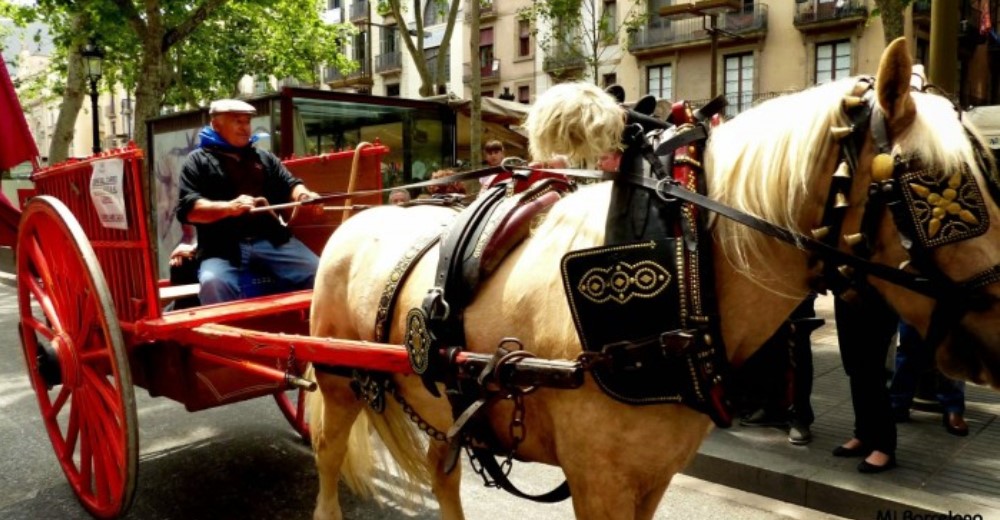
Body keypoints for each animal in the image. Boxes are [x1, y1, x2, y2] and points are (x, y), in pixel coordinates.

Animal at [308, 40, 1000, 520]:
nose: (996, 335)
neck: (687, 263)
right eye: (929, 189)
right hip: (338, 381)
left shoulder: (653, 473)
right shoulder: (600, 480)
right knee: (328, 455)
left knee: (439, 467)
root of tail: (358, 215)